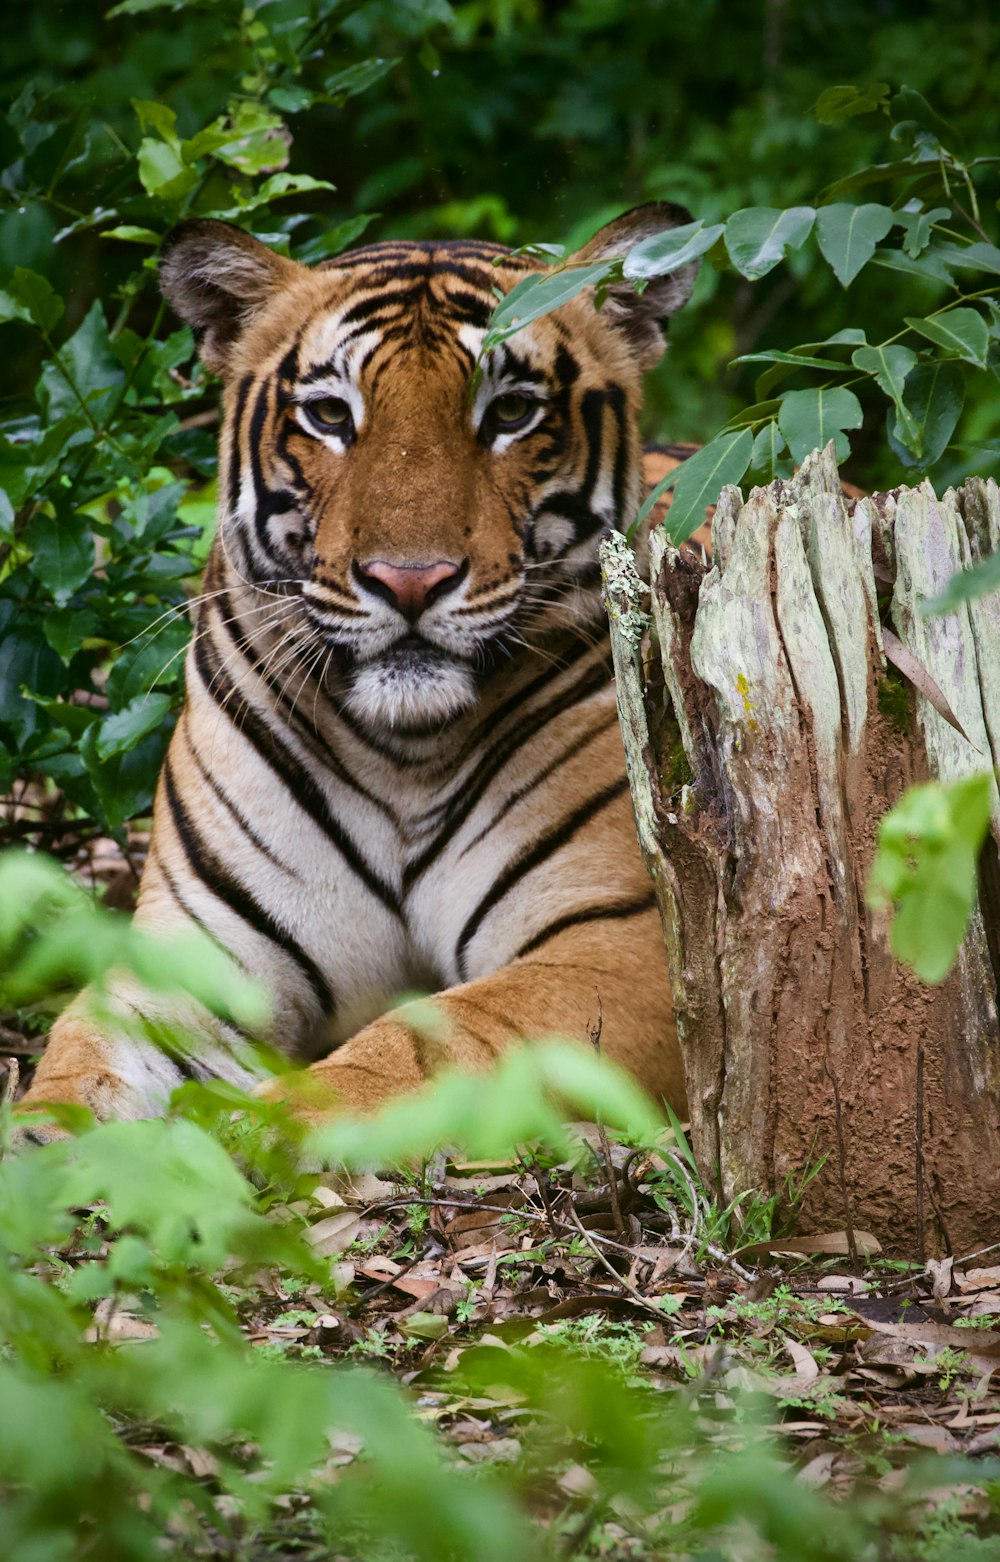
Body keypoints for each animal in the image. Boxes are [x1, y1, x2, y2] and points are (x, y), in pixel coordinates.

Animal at [19, 201, 700, 1130]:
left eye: (511, 411)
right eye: (331, 416)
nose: (409, 579)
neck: (403, 750)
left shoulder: (621, 946)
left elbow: (423, 1046)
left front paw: (257, 1138)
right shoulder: (196, 949)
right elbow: (78, 1064)